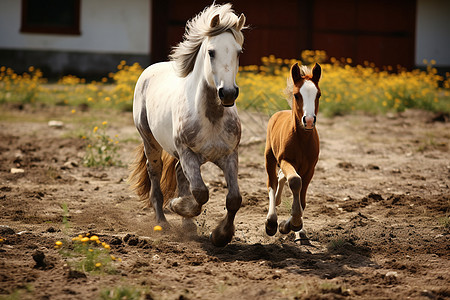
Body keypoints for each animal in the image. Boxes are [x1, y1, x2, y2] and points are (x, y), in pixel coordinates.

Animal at [128, 3, 244, 246]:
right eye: (211, 52)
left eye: (238, 52)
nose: (228, 93)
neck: (211, 117)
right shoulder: (188, 153)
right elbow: (200, 192)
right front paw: (177, 206)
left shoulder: (229, 155)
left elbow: (234, 198)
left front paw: (221, 235)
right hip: (150, 141)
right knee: (155, 175)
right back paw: (163, 223)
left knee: (180, 175)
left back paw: (188, 225)